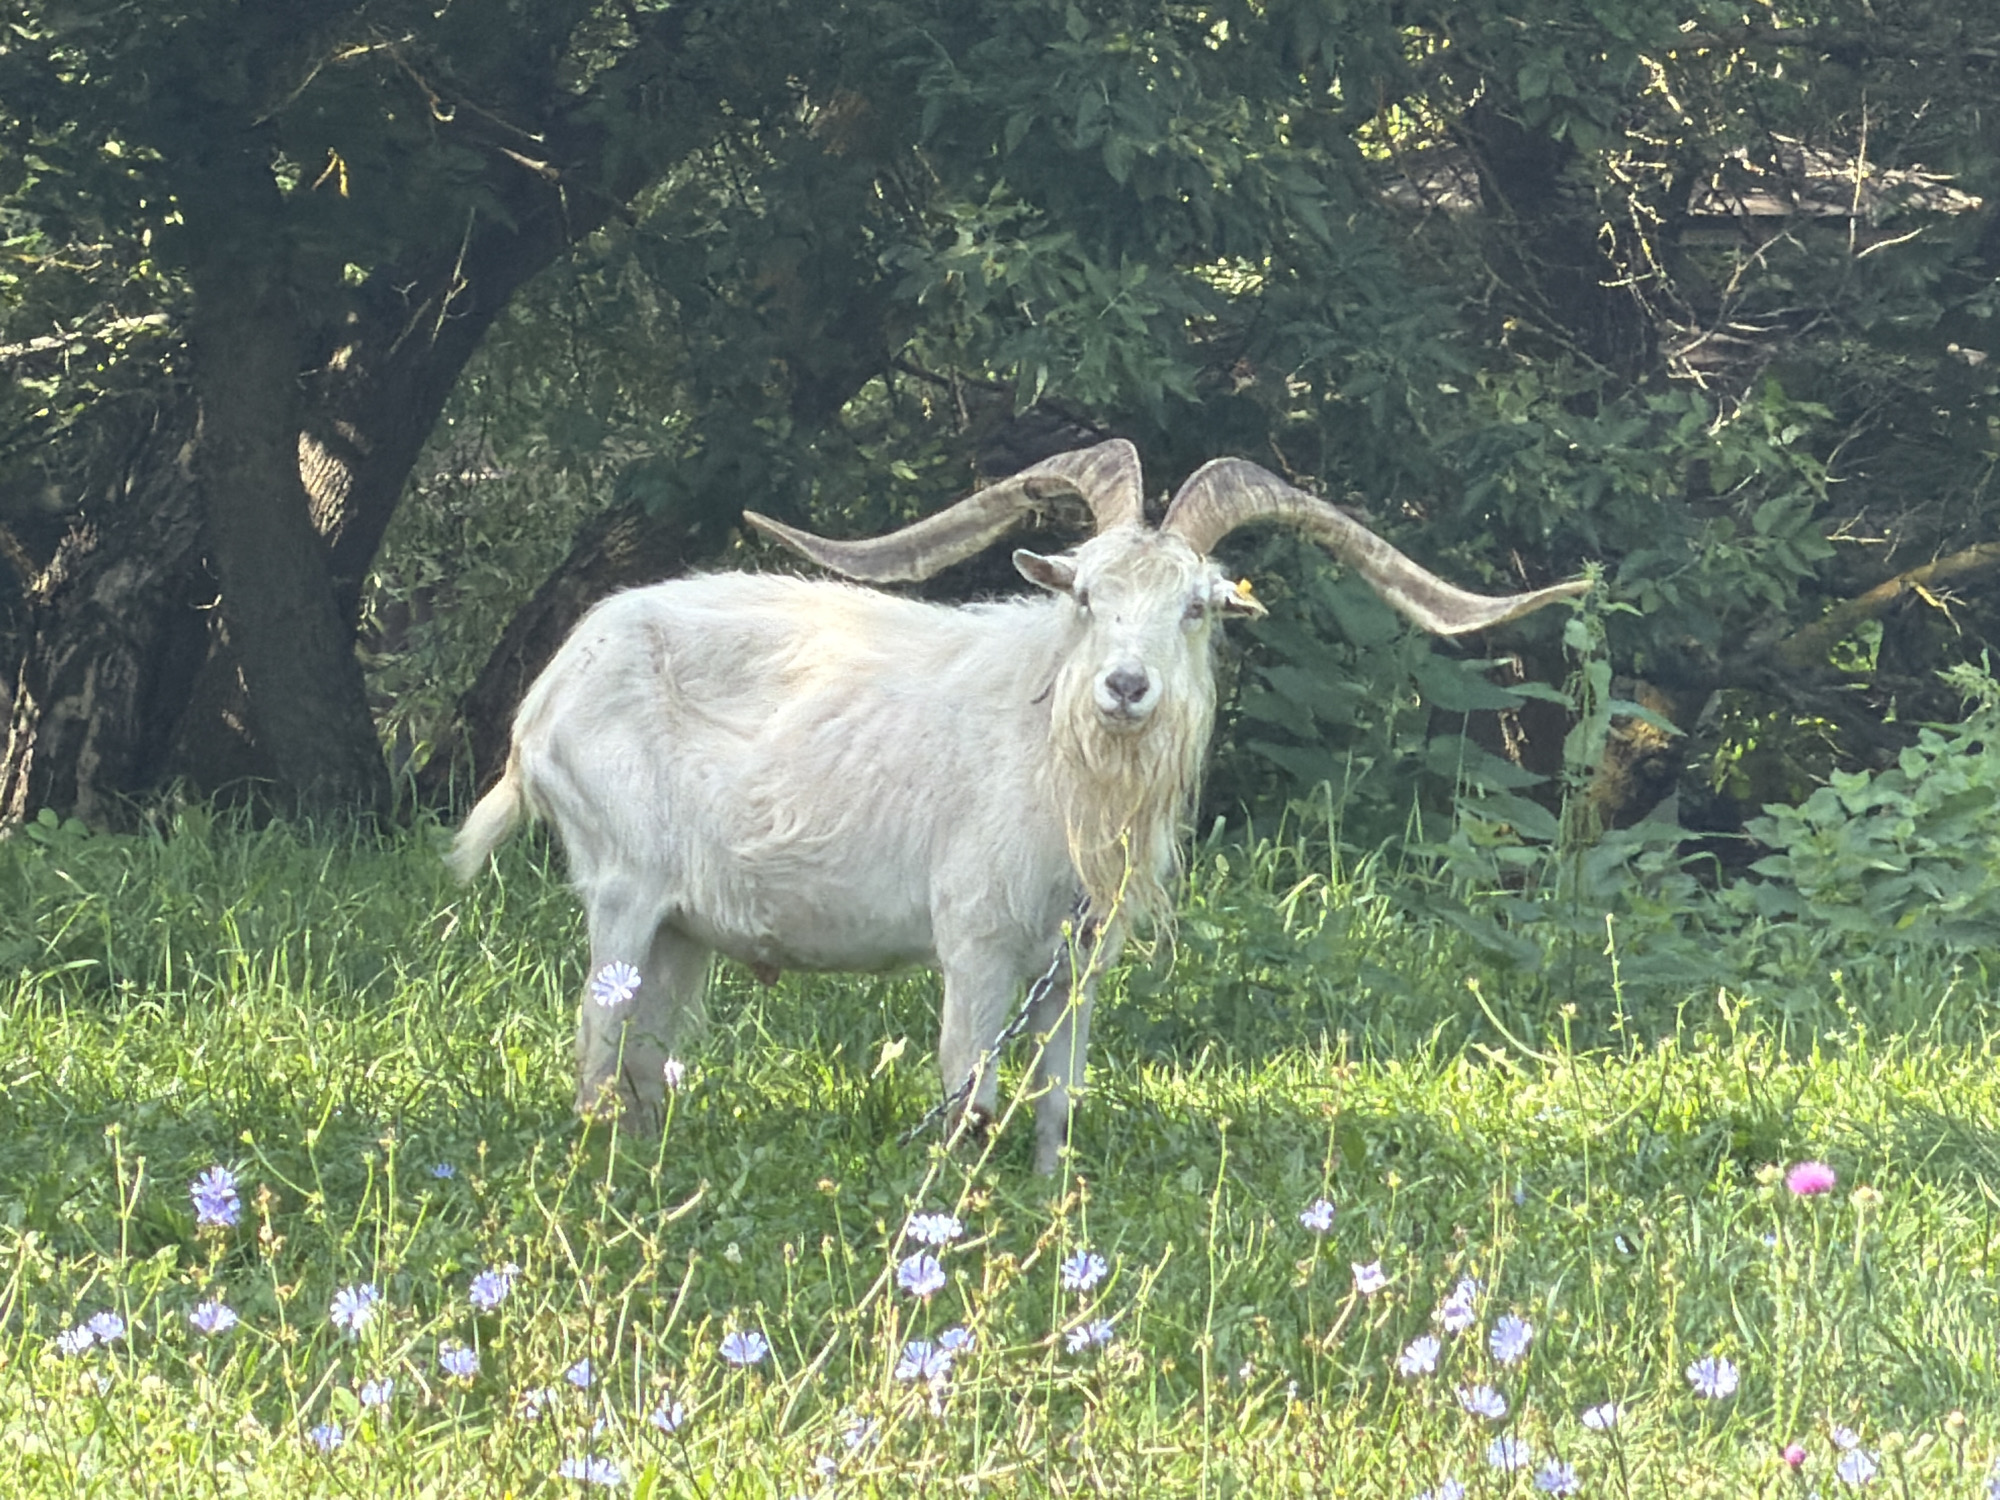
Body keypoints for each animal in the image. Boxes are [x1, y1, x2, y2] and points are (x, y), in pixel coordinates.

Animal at [448, 441, 1586, 1171]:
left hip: (683, 927)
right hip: (622, 888)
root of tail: (547, 697)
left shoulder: (1074, 964)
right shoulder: (977, 941)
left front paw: (1048, 1207)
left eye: (1196, 608)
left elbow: (1054, 1102)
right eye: (1083, 595)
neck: (1055, 761)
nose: (1124, 688)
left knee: (644, 1060)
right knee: (596, 1045)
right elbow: (967, 1094)